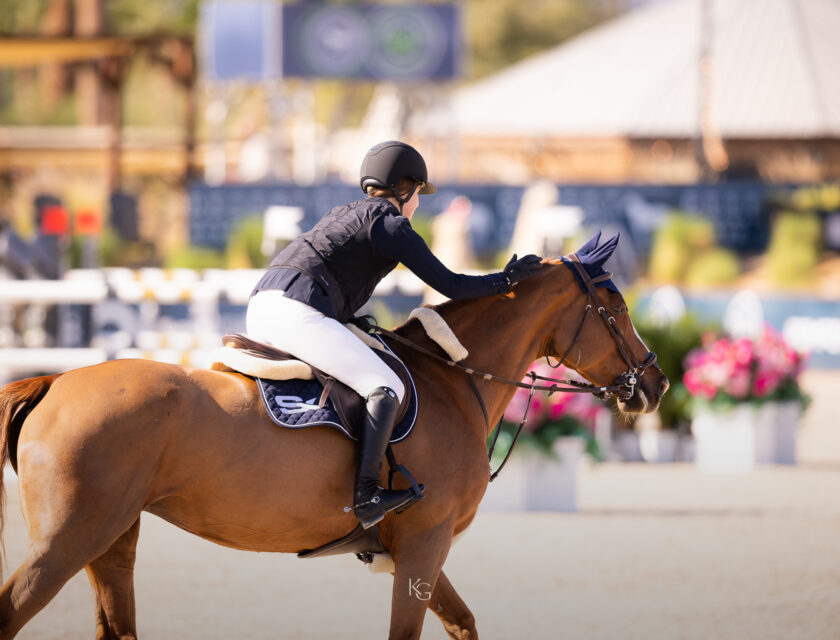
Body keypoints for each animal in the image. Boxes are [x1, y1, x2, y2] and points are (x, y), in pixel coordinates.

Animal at [1, 232, 668, 636]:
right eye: (614, 303)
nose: (656, 383)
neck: (455, 378)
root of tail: (54, 382)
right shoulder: (424, 544)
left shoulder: (413, 548)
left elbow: (464, 622)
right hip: (68, 538)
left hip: (111, 539)